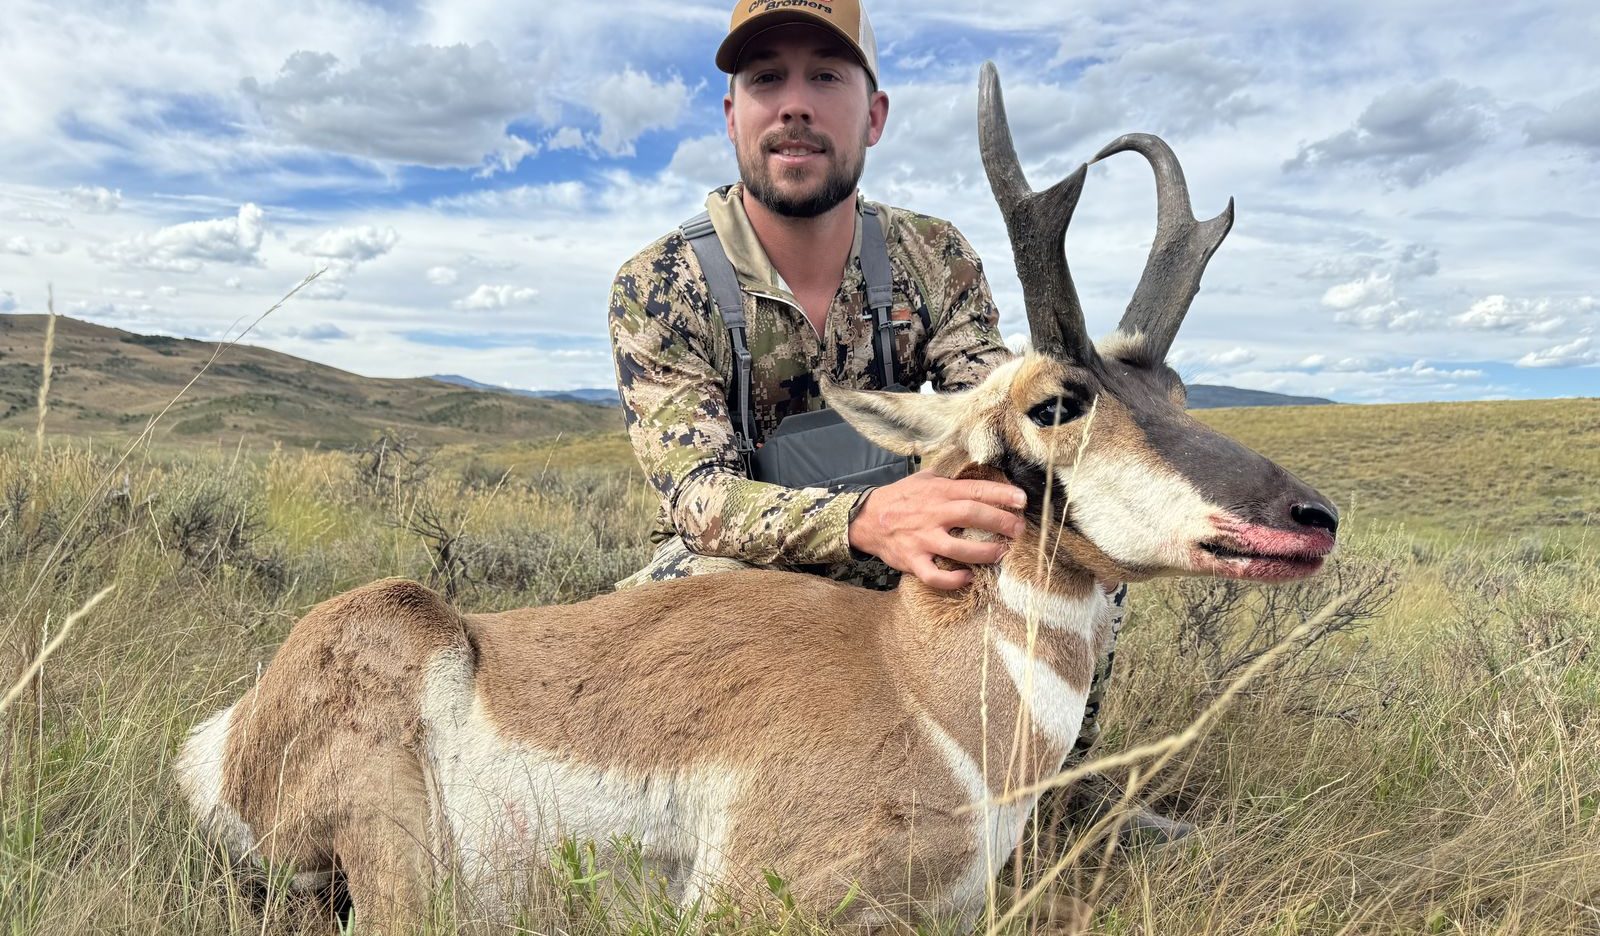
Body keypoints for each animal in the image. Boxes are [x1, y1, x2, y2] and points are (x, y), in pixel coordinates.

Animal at [175, 64, 1339, 933]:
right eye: (1059, 402)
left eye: (1177, 391)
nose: (1312, 518)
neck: (921, 685)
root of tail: (221, 739)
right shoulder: (754, 899)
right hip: (402, 794)